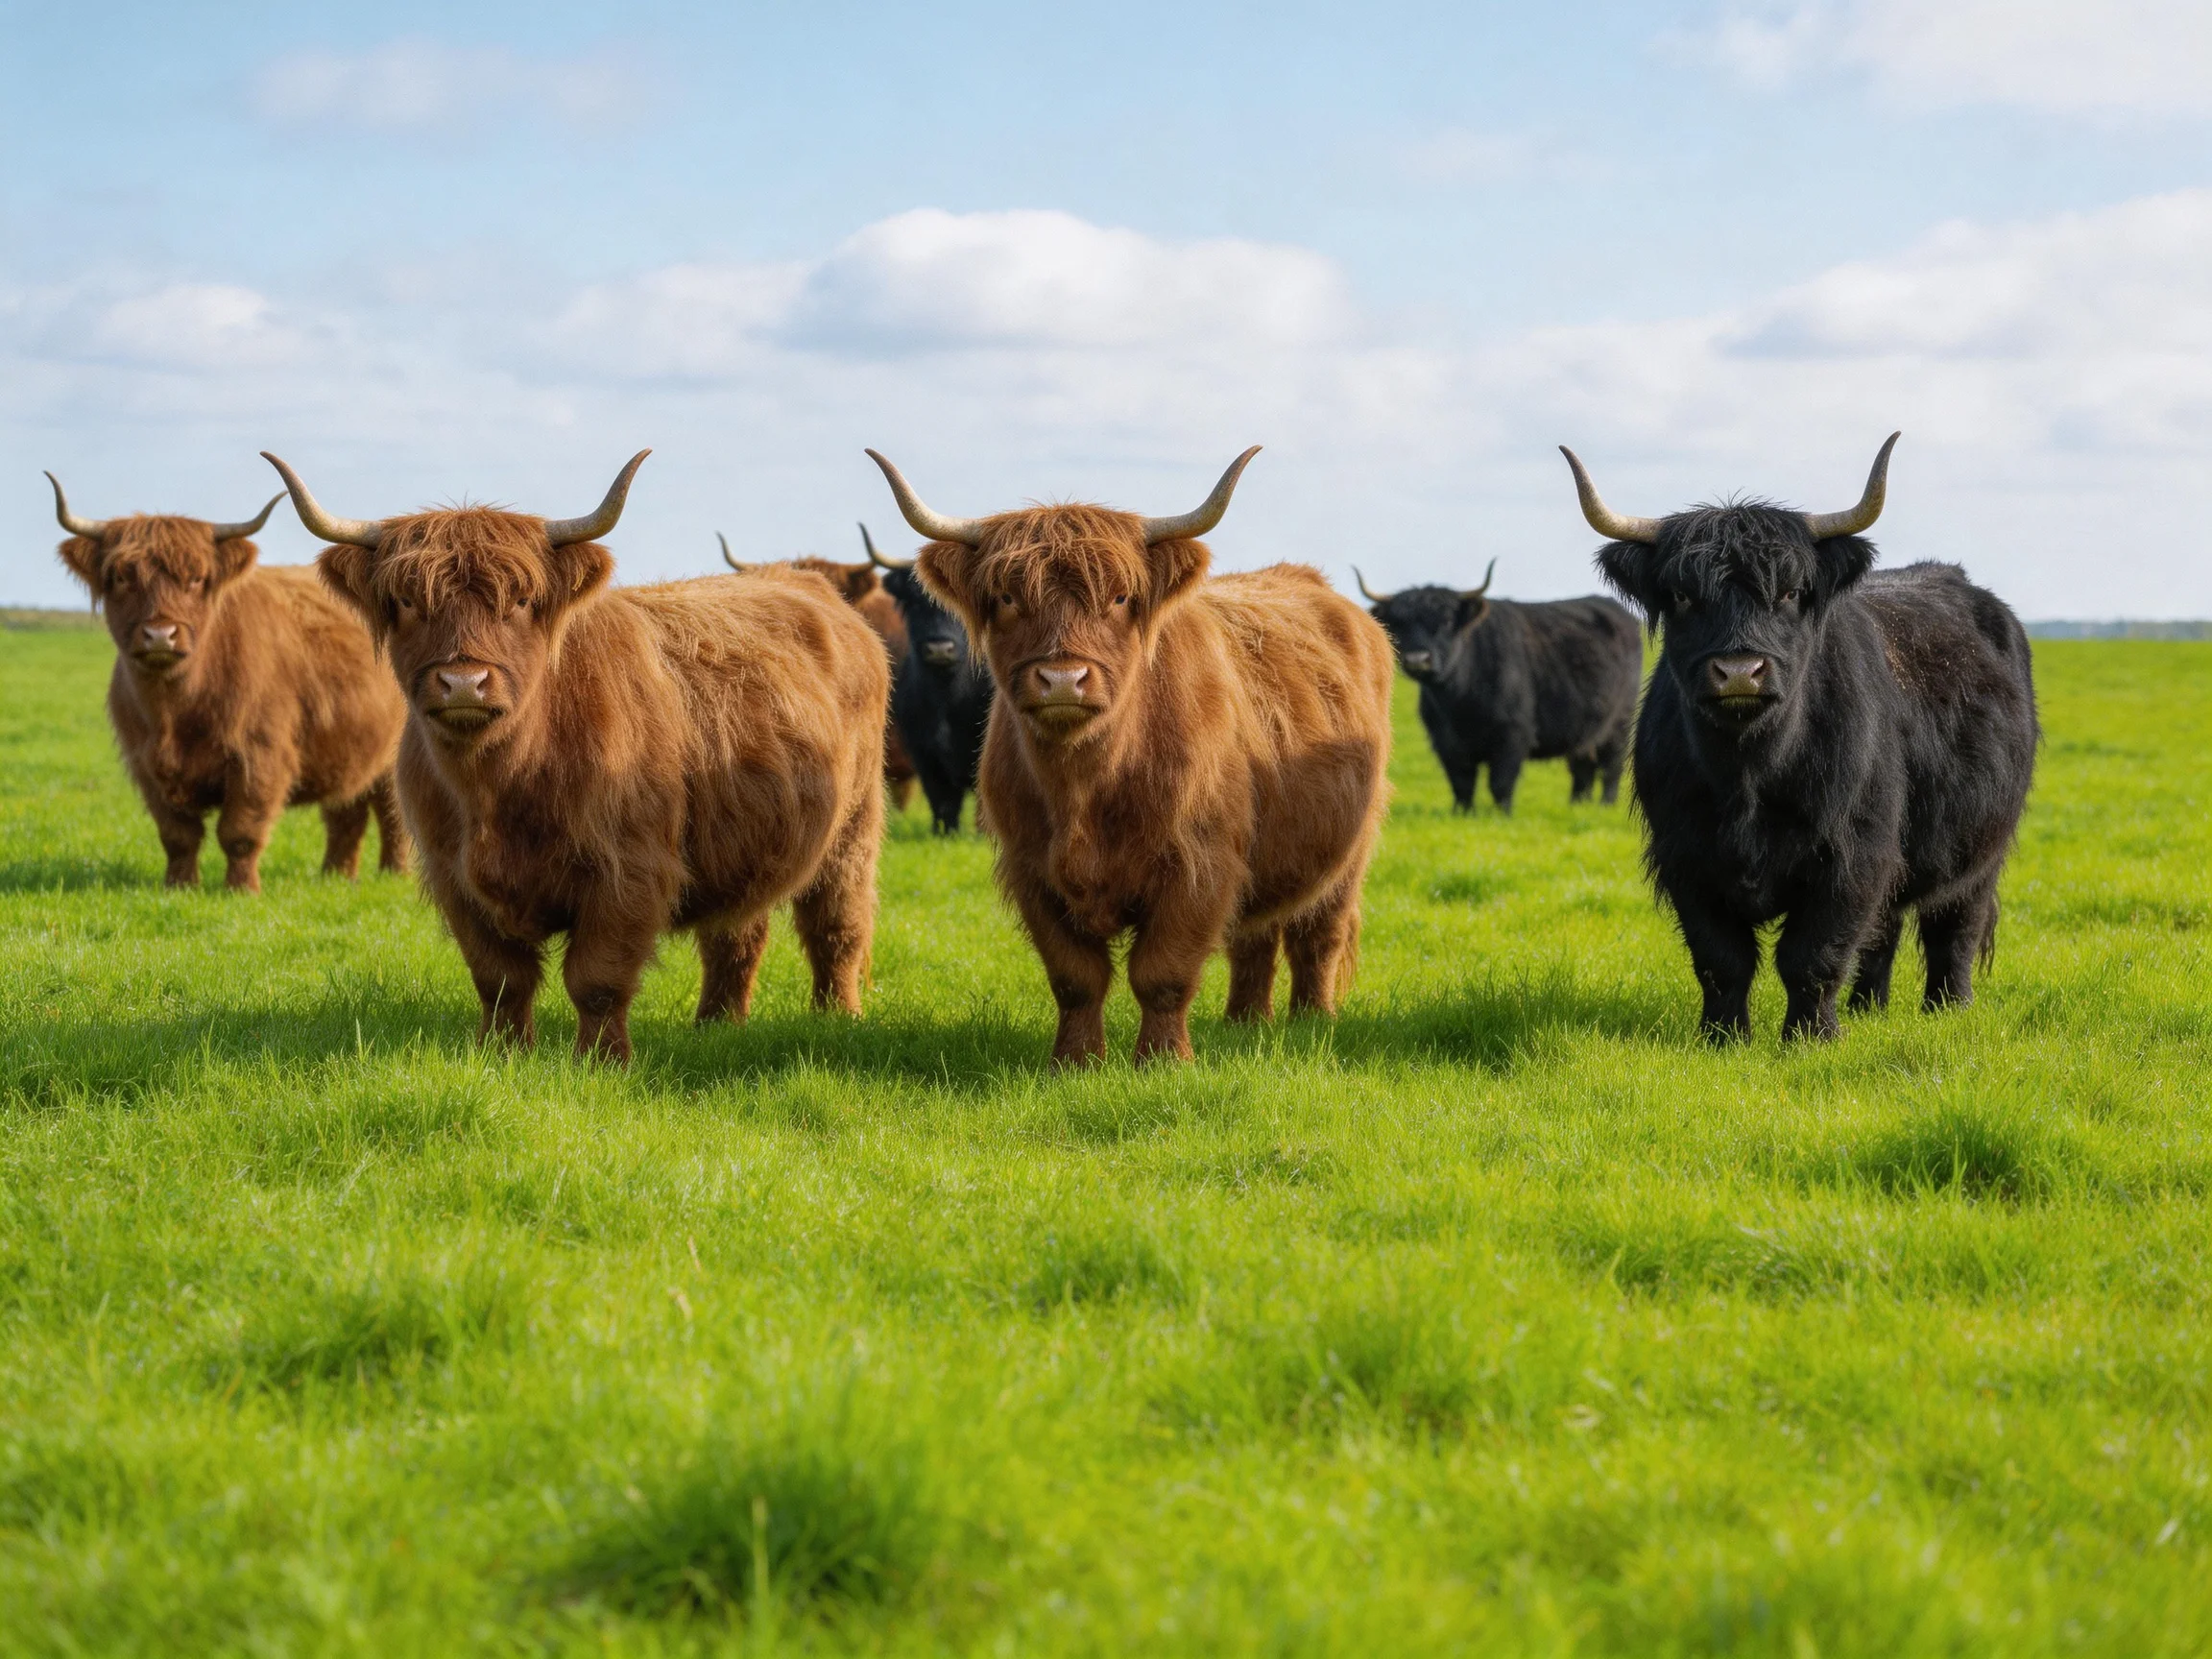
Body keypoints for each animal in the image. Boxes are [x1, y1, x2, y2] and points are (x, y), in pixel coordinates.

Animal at [48, 473, 406, 892]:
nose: (160, 635)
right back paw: (335, 876)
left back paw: (393, 873)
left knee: (393, 814)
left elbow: (240, 831)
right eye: (121, 577)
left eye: (196, 579)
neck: (173, 710)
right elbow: (178, 836)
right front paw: (179, 886)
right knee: (346, 812)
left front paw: (242, 889)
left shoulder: (259, 756)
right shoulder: (147, 765)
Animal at [266, 451, 886, 1063]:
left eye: (520, 600)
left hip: (853, 827)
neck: (497, 786)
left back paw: (838, 1017)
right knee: (736, 933)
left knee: (838, 925)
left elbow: (597, 979)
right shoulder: (453, 878)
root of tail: (809, 584)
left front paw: (602, 1062)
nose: (464, 683)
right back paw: (715, 1025)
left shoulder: (629, 870)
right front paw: (503, 1054)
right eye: (408, 601)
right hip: (746, 842)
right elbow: (500, 979)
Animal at [1354, 561, 1641, 812]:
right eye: (1399, 624)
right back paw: (1577, 805)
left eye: (1446, 621)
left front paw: (1502, 814)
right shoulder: (1445, 742)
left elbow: (1500, 782)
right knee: (1582, 768)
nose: (1417, 660)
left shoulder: (1513, 735)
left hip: (1619, 724)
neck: (1460, 702)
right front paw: (1463, 813)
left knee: (1611, 767)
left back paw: (1605, 805)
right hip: (1583, 728)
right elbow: (1461, 783)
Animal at [1565, 434, 2038, 1043]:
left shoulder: (1852, 858)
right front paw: (1723, 1039)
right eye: (1683, 597)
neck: (1748, 774)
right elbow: (1721, 959)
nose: (1739, 672)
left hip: (1981, 849)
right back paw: (1867, 1008)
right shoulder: (1687, 859)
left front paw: (1811, 1038)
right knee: (1883, 933)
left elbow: (1812, 955)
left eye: (1790, 593)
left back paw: (1947, 1008)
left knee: (1952, 928)